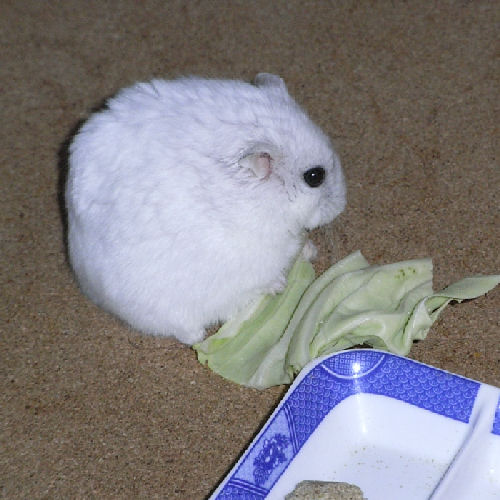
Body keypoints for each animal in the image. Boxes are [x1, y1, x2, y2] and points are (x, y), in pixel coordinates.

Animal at [65, 73, 346, 345]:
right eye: (314, 176)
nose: (342, 205)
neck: (267, 201)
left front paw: (310, 251)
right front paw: (280, 284)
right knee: (186, 332)